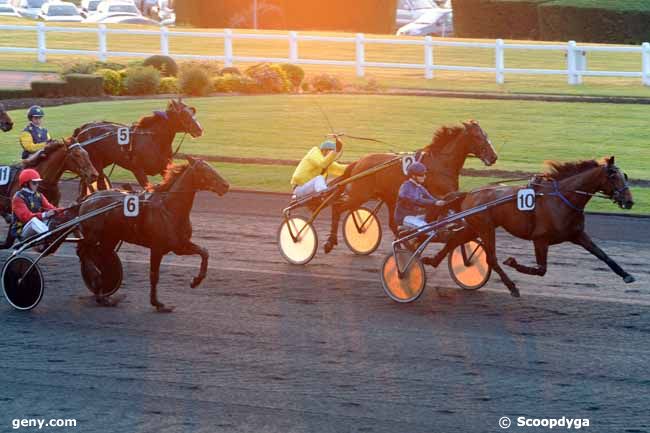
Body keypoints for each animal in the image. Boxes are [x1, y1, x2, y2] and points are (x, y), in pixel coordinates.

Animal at [71, 100, 202, 191]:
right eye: (184, 114)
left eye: (192, 112)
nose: (199, 130)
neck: (153, 140)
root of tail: (84, 128)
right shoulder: (138, 171)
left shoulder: (164, 168)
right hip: (96, 163)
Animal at [76, 157, 229, 312]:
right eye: (204, 170)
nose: (226, 185)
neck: (169, 209)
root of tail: (89, 197)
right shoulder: (157, 248)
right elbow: (154, 275)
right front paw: (158, 303)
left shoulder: (180, 245)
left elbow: (204, 252)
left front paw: (196, 281)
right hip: (92, 236)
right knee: (83, 251)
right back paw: (96, 279)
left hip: (110, 237)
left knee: (102, 254)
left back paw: (103, 295)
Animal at [324, 120, 496, 251]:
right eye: (477, 136)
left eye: (486, 135)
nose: (494, 157)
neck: (441, 162)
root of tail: (358, 162)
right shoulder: (440, 195)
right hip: (360, 194)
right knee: (337, 207)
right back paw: (330, 242)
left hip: (388, 197)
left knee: (392, 223)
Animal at [426, 156, 632, 296]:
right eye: (613, 176)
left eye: (625, 176)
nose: (629, 202)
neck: (561, 199)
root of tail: (469, 193)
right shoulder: (540, 239)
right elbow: (541, 270)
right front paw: (512, 262)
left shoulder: (577, 235)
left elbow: (603, 255)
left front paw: (626, 275)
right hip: (485, 228)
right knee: (491, 259)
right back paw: (511, 286)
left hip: (476, 226)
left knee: (455, 239)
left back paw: (433, 260)